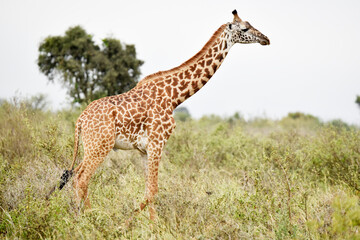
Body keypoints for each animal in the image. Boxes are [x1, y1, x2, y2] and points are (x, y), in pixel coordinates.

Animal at [57, 9, 268, 219]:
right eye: (244, 28)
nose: (266, 39)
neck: (174, 97)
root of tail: (80, 120)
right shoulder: (157, 143)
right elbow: (153, 190)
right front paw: (148, 224)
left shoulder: (144, 149)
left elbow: (148, 189)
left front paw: (134, 220)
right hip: (100, 145)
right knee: (82, 177)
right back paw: (90, 217)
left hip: (91, 146)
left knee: (75, 175)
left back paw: (79, 215)